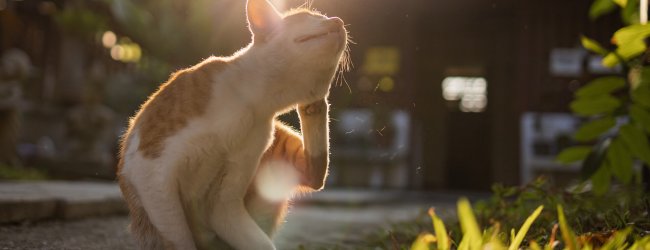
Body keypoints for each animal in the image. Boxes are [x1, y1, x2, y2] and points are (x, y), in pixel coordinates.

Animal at [116, 0, 350, 249]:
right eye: (311, 16)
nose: (338, 20)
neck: (251, 103)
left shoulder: (224, 201)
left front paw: (316, 101)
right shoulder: (151, 171)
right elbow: (179, 238)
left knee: (314, 176)